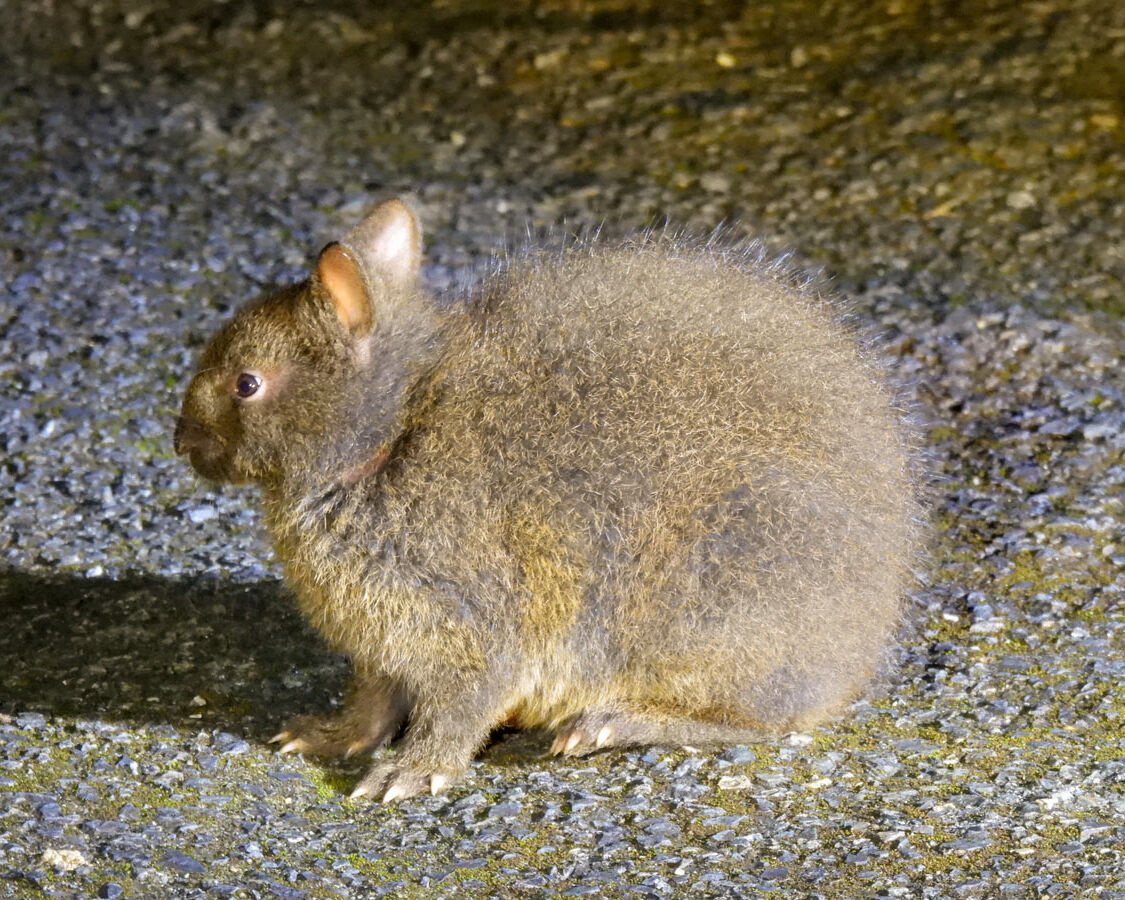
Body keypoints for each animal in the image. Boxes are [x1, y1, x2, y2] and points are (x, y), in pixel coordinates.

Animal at [171, 196, 918, 801]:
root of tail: (863, 643)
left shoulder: (473, 622)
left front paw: (409, 774)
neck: (394, 428)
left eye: (246, 384)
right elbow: (372, 704)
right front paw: (327, 736)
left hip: (706, 593)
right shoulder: (384, 645)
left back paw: (608, 722)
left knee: (760, 722)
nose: (180, 441)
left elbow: (455, 711)